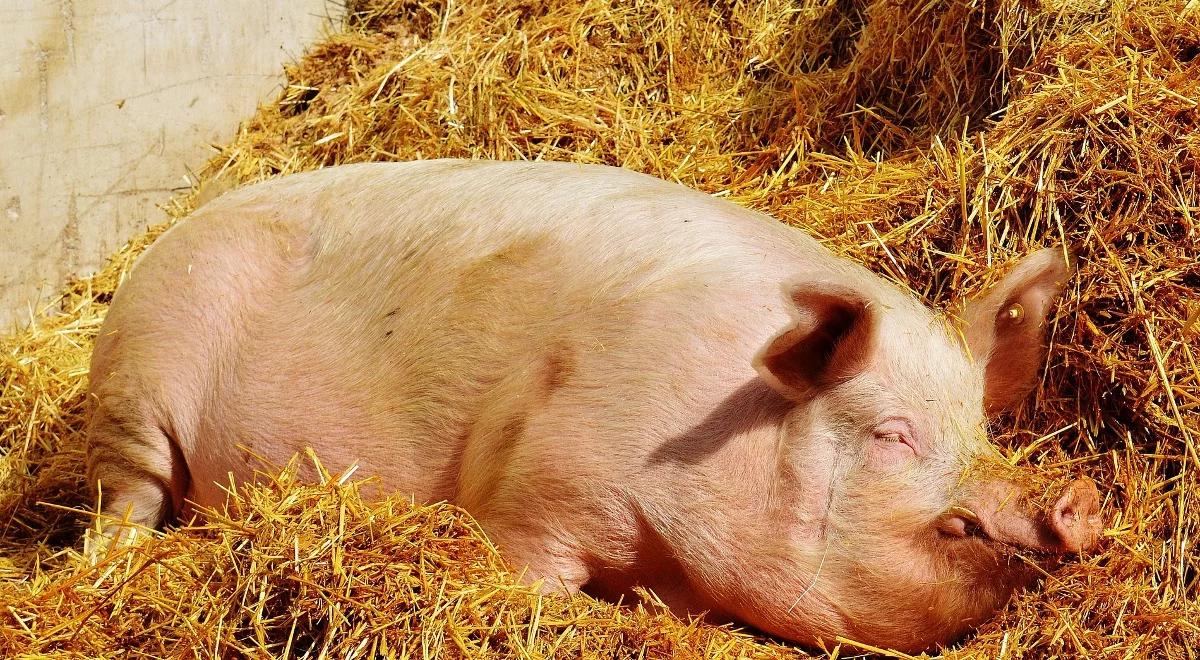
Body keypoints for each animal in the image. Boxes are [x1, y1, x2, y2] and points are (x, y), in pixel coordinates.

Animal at [82, 159, 1099, 652]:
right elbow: (525, 569)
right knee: (125, 500)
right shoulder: (536, 485)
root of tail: (168, 237)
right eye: (892, 435)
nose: (1078, 500)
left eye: (979, 429)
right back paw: (112, 561)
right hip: (136, 382)